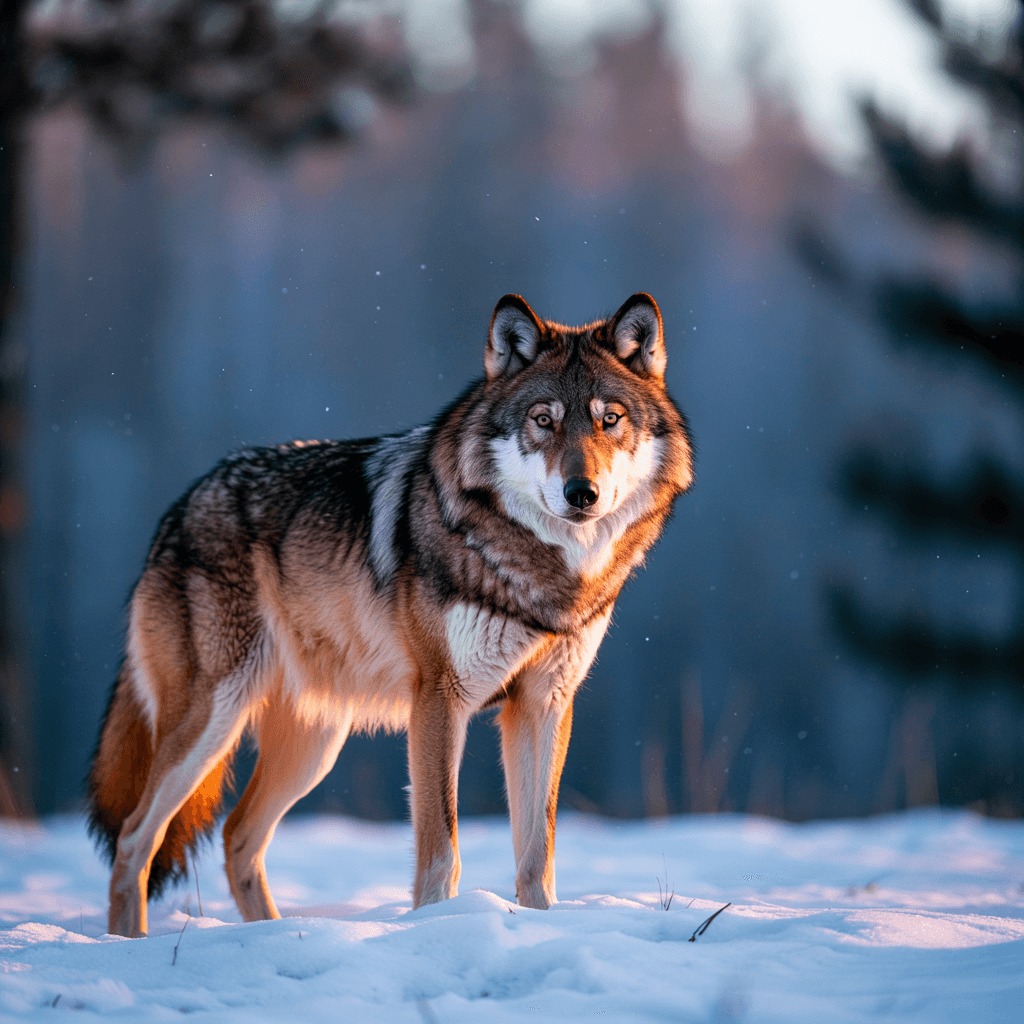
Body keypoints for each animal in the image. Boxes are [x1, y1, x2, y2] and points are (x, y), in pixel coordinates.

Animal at [87, 292, 693, 937]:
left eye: (611, 419)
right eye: (544, 421)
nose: (583, 493)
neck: (540, 568)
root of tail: (177, 509)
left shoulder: (544, 704)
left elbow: (538, 853)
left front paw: (538, 926)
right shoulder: (440, 699)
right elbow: (442, 849)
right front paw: (436, 927)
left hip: (314, 747)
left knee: (236, 837)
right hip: (212, 721)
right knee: (135, 839)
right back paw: (129, 944)